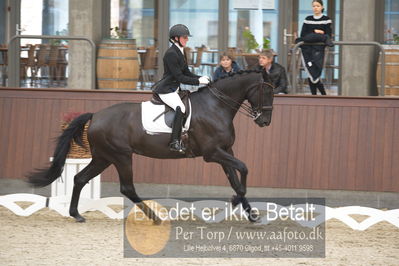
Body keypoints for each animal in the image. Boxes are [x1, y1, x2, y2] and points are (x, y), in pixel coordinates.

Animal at [26, 69, 274, 223]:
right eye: (268, 91)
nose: (265, 122)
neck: (216, 106)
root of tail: (95, 116)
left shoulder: (225, 150)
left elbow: (235, 179)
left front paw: (251, 214)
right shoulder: (212, 153)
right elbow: (243, 169)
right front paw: (236, 201)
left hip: (103, 157)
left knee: (80, 179)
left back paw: (76, 214)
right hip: (121, 156)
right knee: (127, 188)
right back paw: (155, 218)